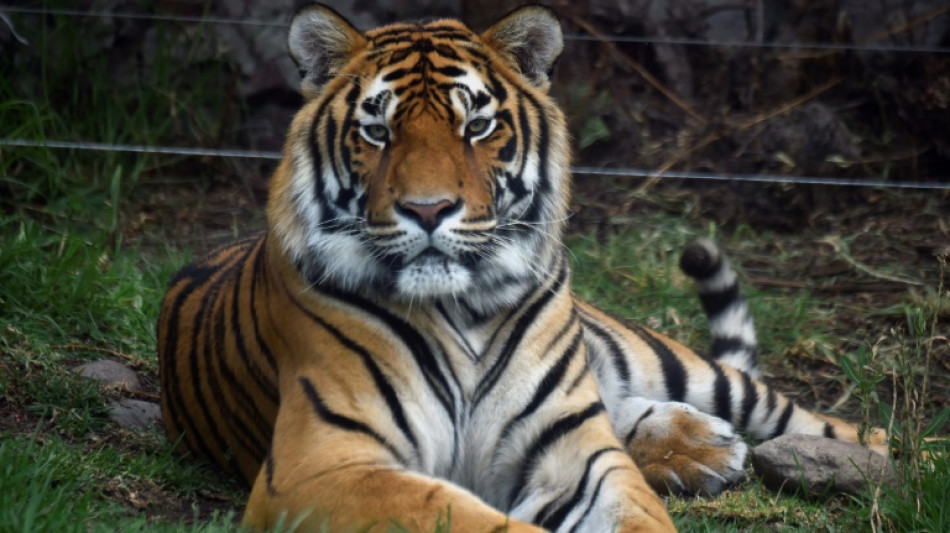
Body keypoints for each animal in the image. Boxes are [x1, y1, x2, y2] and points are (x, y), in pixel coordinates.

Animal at [158, 5, 892, 532]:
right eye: (377, 132)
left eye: (477, 127)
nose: (428, 209)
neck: (460, 309)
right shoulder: (323, 466)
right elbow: (461, 517)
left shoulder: (580, 454)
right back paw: (704, 448)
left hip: (673, 363)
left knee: (845, 426)